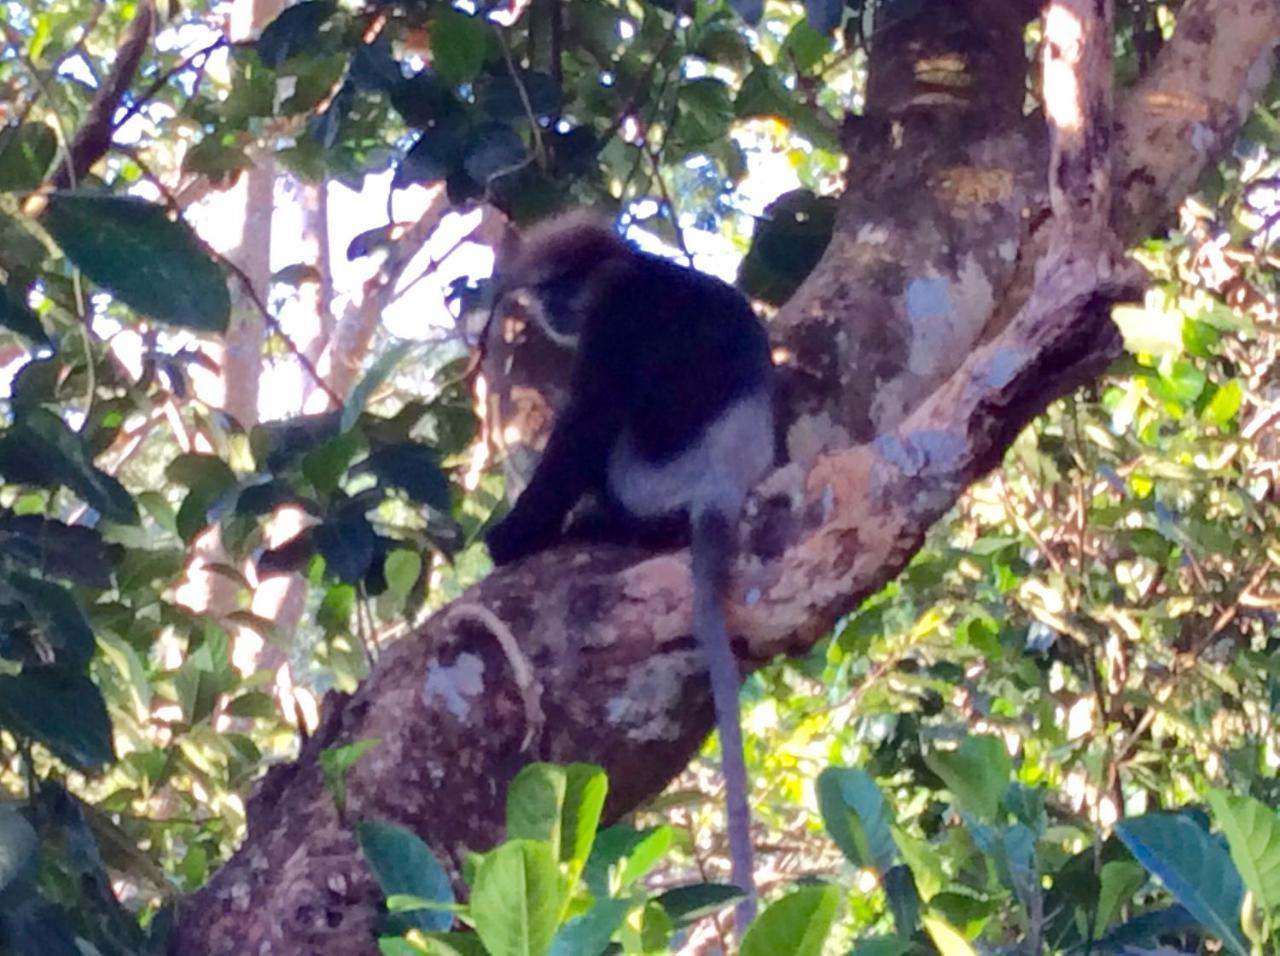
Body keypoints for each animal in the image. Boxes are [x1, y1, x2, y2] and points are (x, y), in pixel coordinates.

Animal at [486, 209, 773, 926]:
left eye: (564, 285)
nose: (551, 307)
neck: (638, 265)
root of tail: (721, 482)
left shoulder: (616, 316)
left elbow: (590, 414)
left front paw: (511, 538)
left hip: (644, 474)